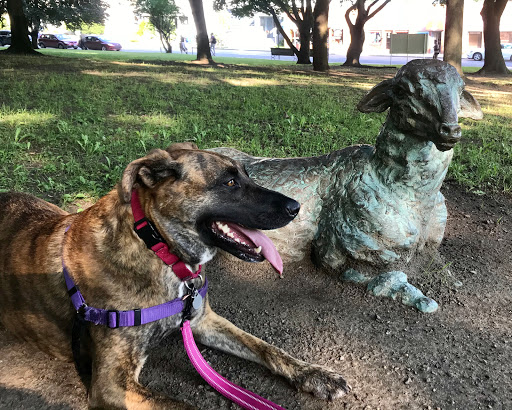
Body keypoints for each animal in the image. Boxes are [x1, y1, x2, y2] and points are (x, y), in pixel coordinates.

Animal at [0, 143, 350, 409]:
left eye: (246, 177)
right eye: (229, 183)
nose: (296, 207)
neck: (157, 247)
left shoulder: (203, 320)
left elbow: (265, 347)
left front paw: (315, 375)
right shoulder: (111, 385)